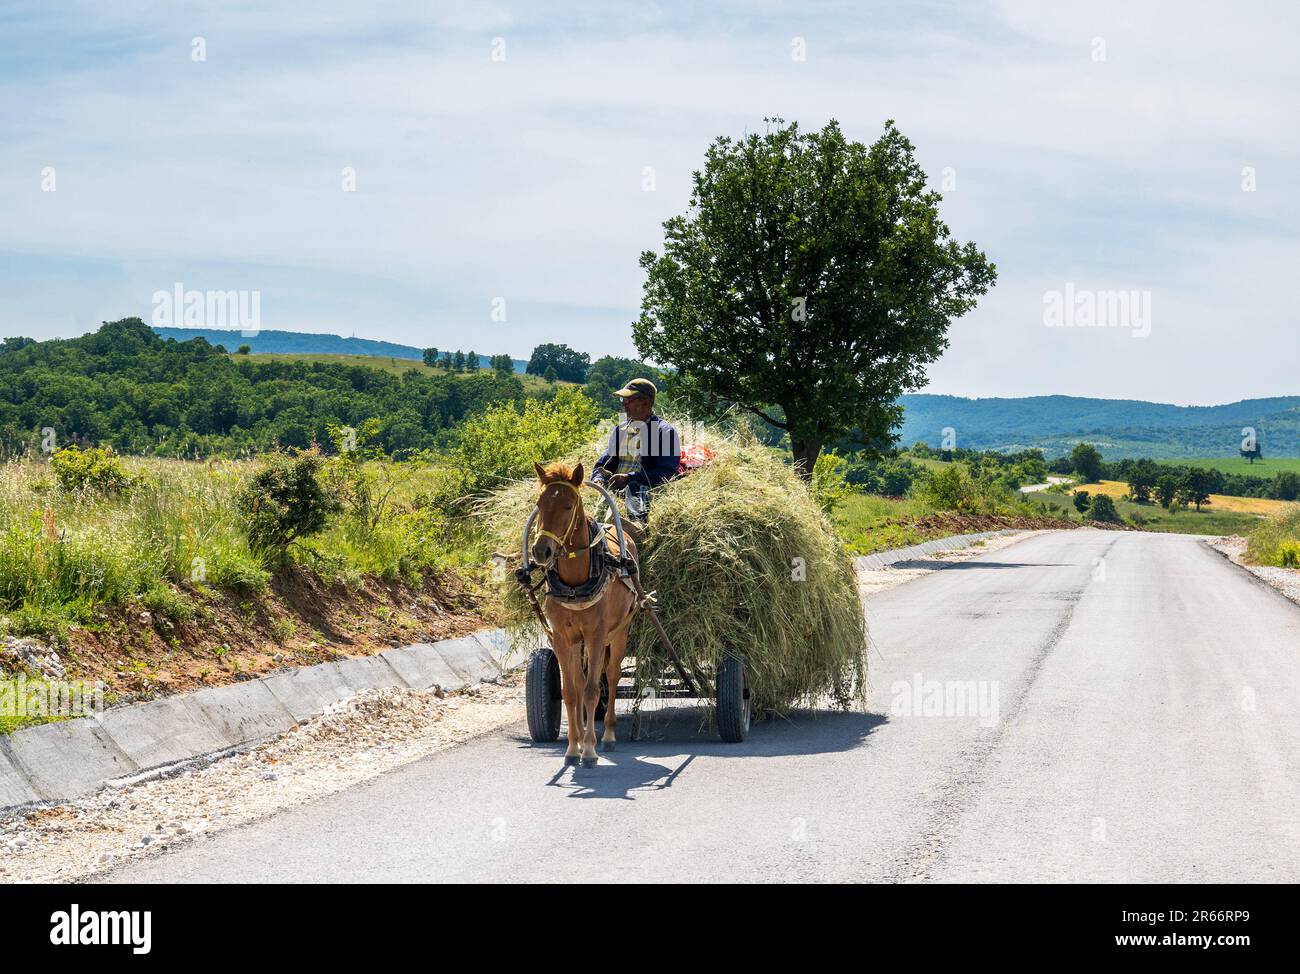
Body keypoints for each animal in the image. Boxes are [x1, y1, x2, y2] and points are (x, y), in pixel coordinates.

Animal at [530, 462, 637, 769]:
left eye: (568, 506)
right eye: (539, 504)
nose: (541, 550)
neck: (575, 583)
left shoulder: (596, 636)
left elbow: (591, 691)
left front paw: (589, 750)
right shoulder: (562, 638)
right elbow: (570, 691)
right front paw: (572, 747)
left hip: (619, 633)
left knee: (611, 677)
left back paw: (609, 734)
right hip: (579, 642)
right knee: (581, 682)